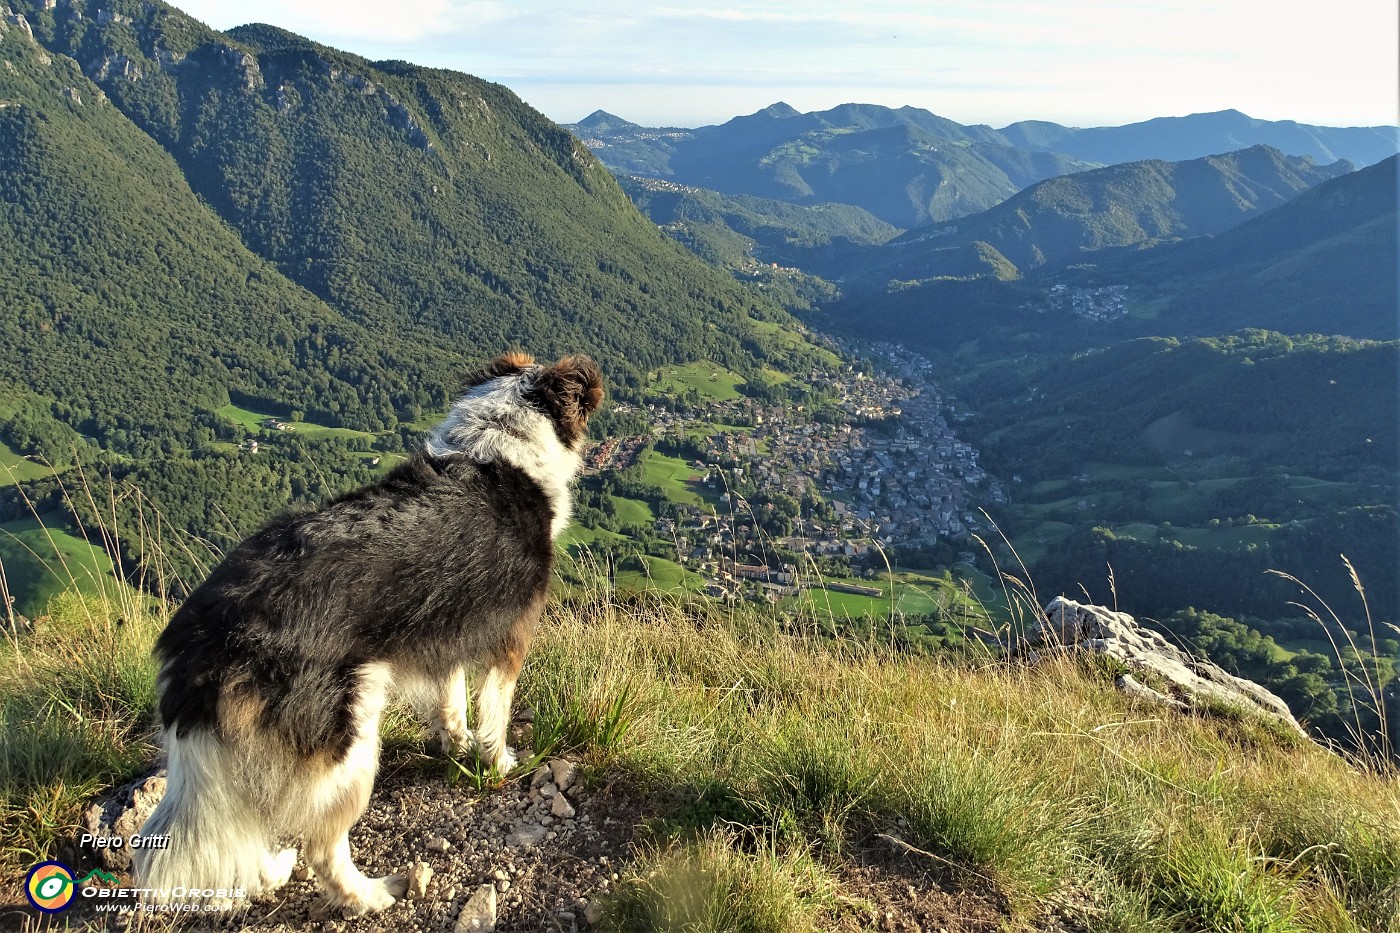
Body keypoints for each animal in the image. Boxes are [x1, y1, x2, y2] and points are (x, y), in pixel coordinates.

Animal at [132, 353, 607, 913]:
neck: (502, 448)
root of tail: (203, 641)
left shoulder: (443, 631)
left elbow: (452, 700)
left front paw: (458, 742)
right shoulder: (509, 640)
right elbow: (495, 709)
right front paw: (498, 761)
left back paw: (271, 870)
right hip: (350, 740)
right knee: (320, 843)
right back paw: (371, 894)